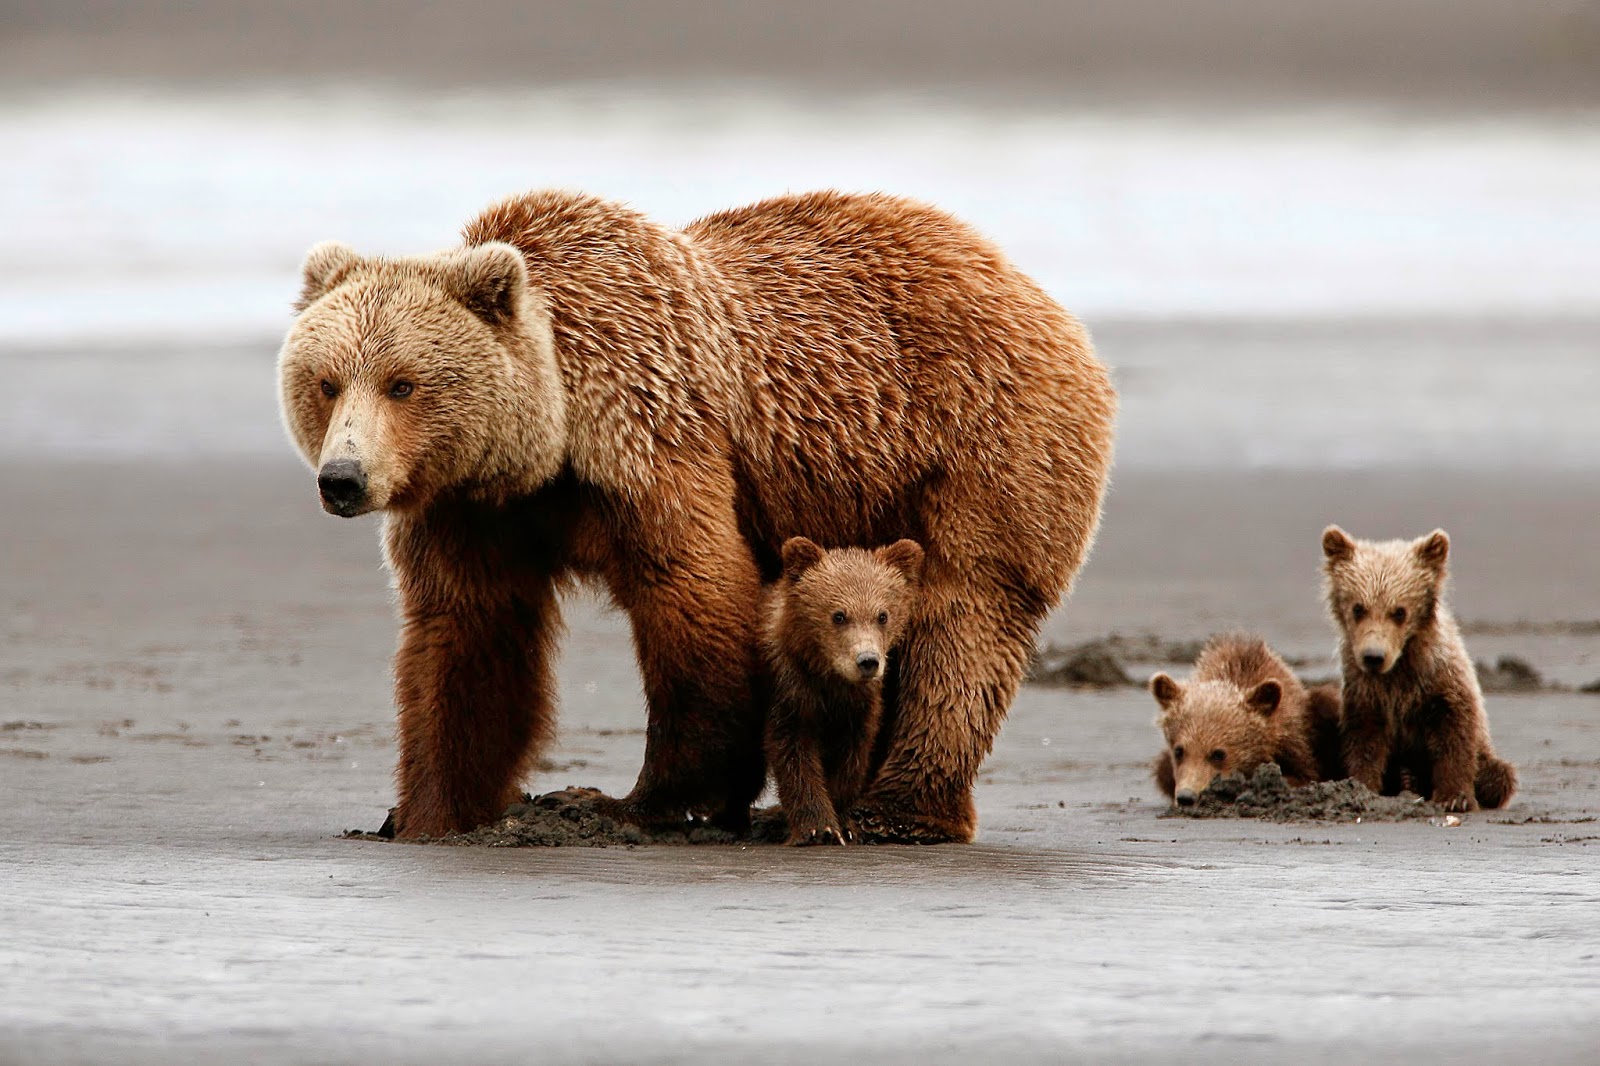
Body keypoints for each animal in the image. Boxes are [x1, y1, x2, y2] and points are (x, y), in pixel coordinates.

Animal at [761, 534, 928, 845]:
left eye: (882, 615)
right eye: (838, 615)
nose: (867, 661)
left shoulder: (860, 706)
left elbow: (852, 759)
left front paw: (845, 823)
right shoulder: (790, 691)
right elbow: (794, 755)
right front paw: (818, 828)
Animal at [1318, 528, 1516, 809]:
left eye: (1399, 611)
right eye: (1358, 608)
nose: (1373, 657)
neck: (1399, 668)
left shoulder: (1441, 681)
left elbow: (1455, 733)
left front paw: (1454, 797)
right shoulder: (1365, 690)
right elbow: (1364, 739)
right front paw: (1360, 786)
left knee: (1500, 774)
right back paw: (1405, 779)